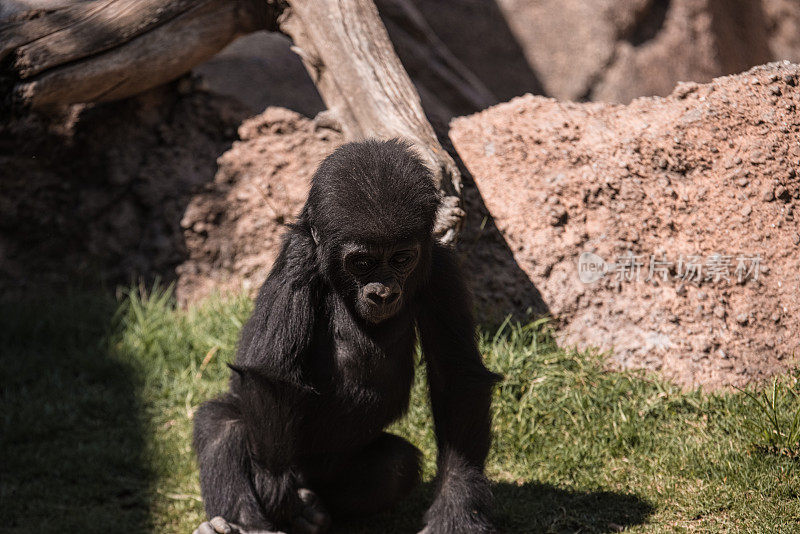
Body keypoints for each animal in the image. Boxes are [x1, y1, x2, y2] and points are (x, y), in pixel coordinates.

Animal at [192, 140, 500, 532]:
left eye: (401, 259)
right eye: (363, 263)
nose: (383, 293)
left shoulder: (442, 270)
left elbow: (456, 378)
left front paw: (458, 508)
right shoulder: (298, 257)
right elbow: (271, 374)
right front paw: (273, 485)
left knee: (395, 466)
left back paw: (313, 512)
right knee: (222, 423)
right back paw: (246, 524)